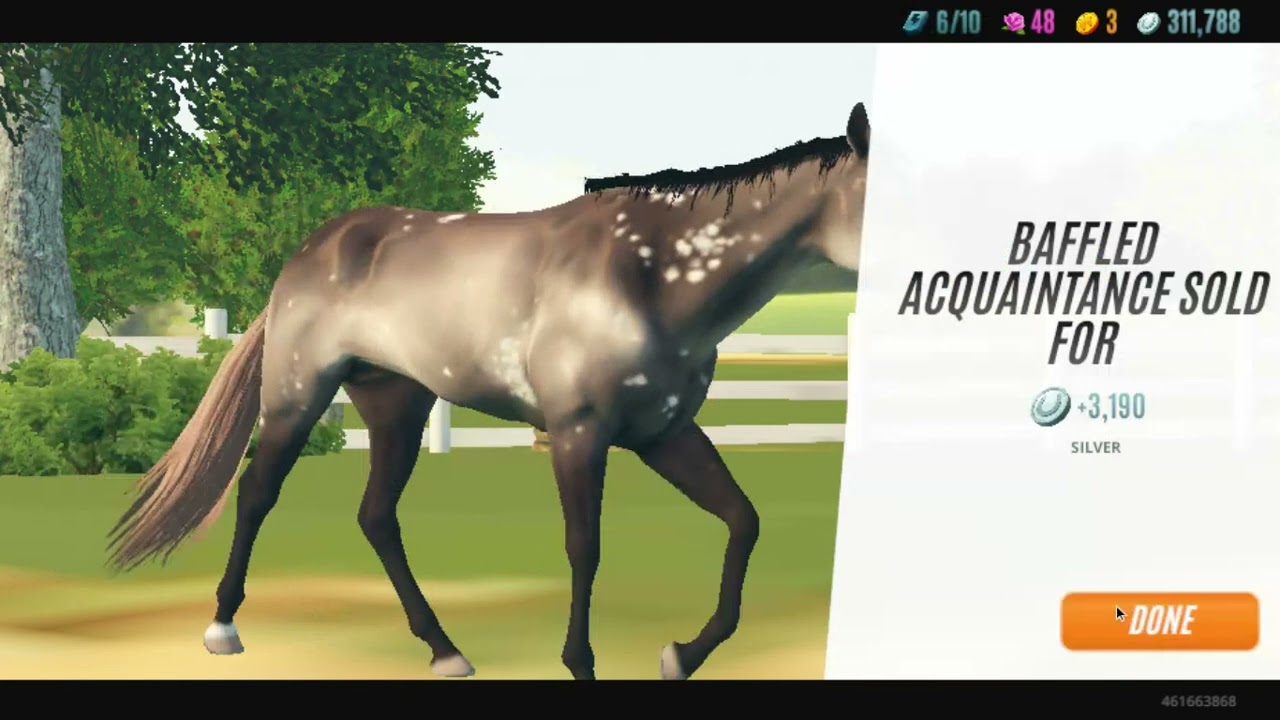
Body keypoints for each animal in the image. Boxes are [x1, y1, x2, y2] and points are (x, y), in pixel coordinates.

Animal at [106, 101, 871, 680]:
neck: (648, 275)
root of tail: (312, 249)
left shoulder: (663, 433)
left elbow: (743, 520)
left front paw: (680, 655)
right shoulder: (579, 431)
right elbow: (585, 544)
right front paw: (581, 663)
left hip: (398, 404)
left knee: (377, 516)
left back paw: (445, 651)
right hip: (299, 393)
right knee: (258, 492)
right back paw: (223, 628)